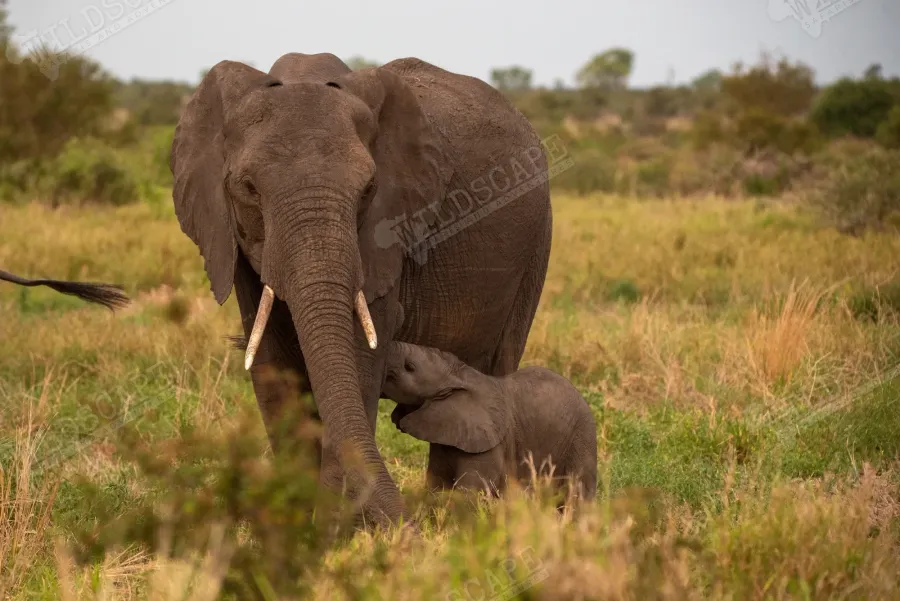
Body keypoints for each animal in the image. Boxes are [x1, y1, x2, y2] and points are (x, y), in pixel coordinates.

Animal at [169, 52, 552, 528]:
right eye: (248, 189)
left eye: (368, 189)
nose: (407, 529)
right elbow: (272, 361)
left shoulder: (389, 232)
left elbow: (362, 353)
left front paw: (337, 530)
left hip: (536, 245)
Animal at [383, 341, 597, 503]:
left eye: (409, 367)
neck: (460, 375)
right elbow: (437, 482)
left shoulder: (491, 444)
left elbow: (472, 489)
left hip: (581, 438)